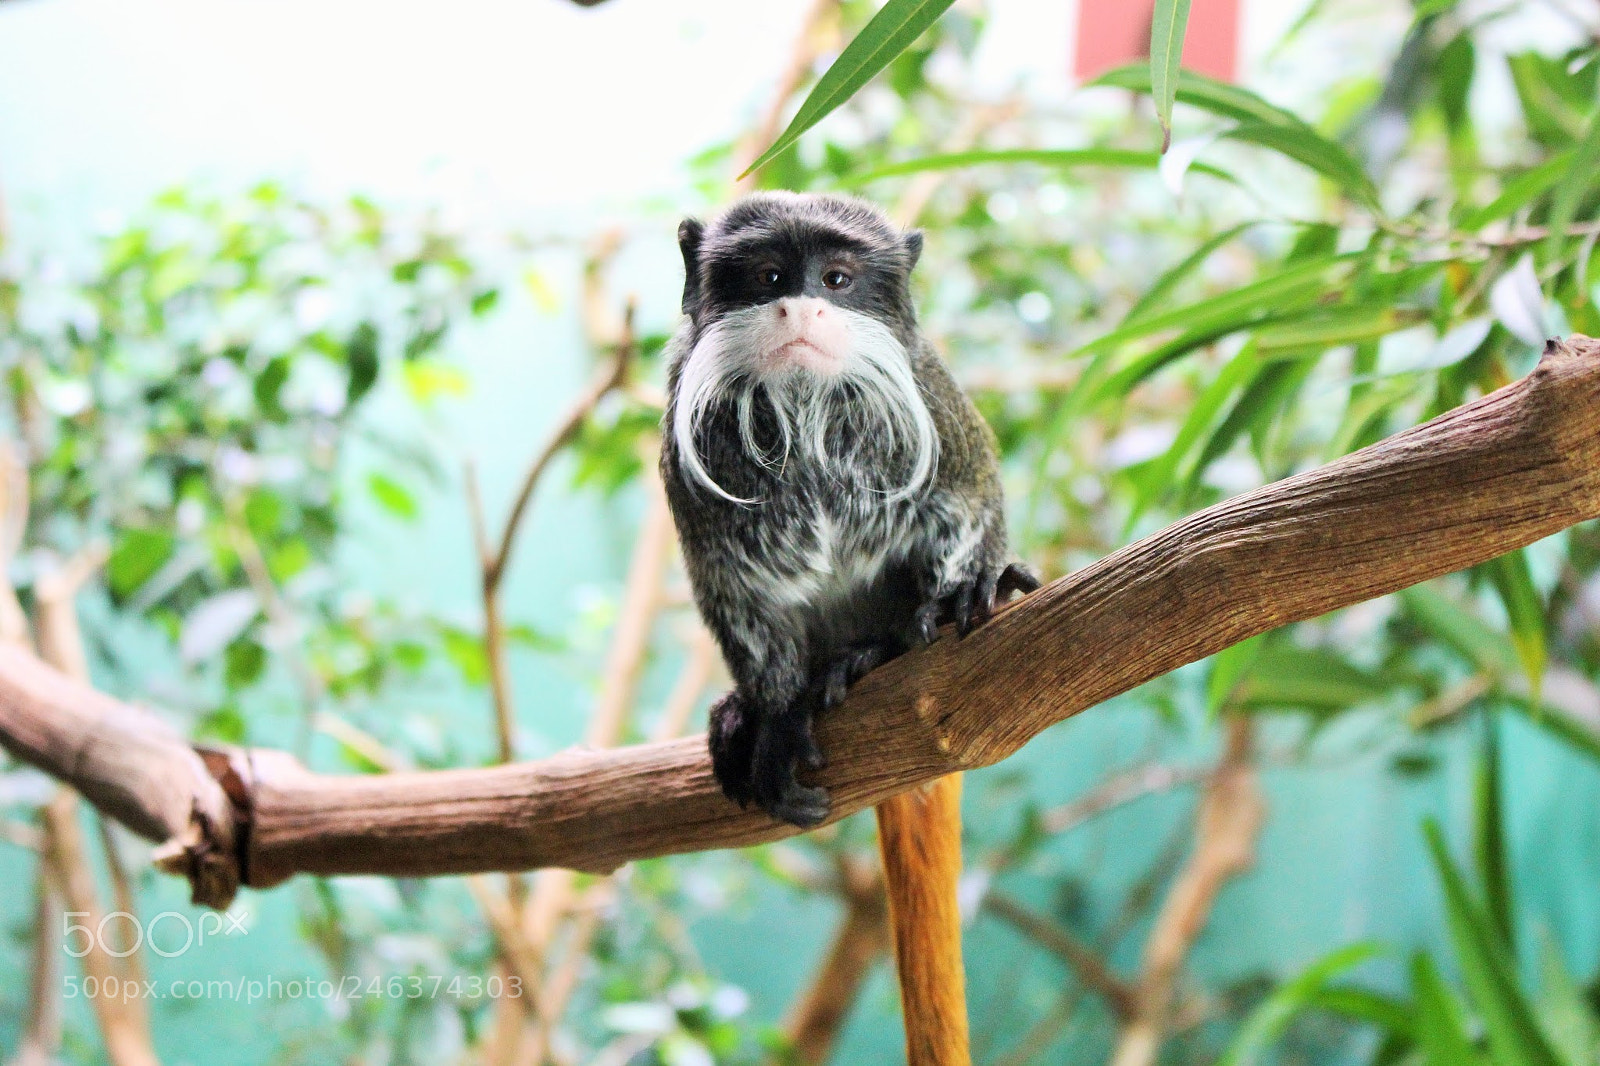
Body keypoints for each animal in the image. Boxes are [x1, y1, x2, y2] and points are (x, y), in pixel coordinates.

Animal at [660, 191, 1038, 1063]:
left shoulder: (932, 401)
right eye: (770, 276)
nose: (802, 305)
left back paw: (872, 654)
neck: (804, 409)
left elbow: (976, 496)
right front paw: (771, 717)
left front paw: (966, 590)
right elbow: (736, 596)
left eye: (836, 278)